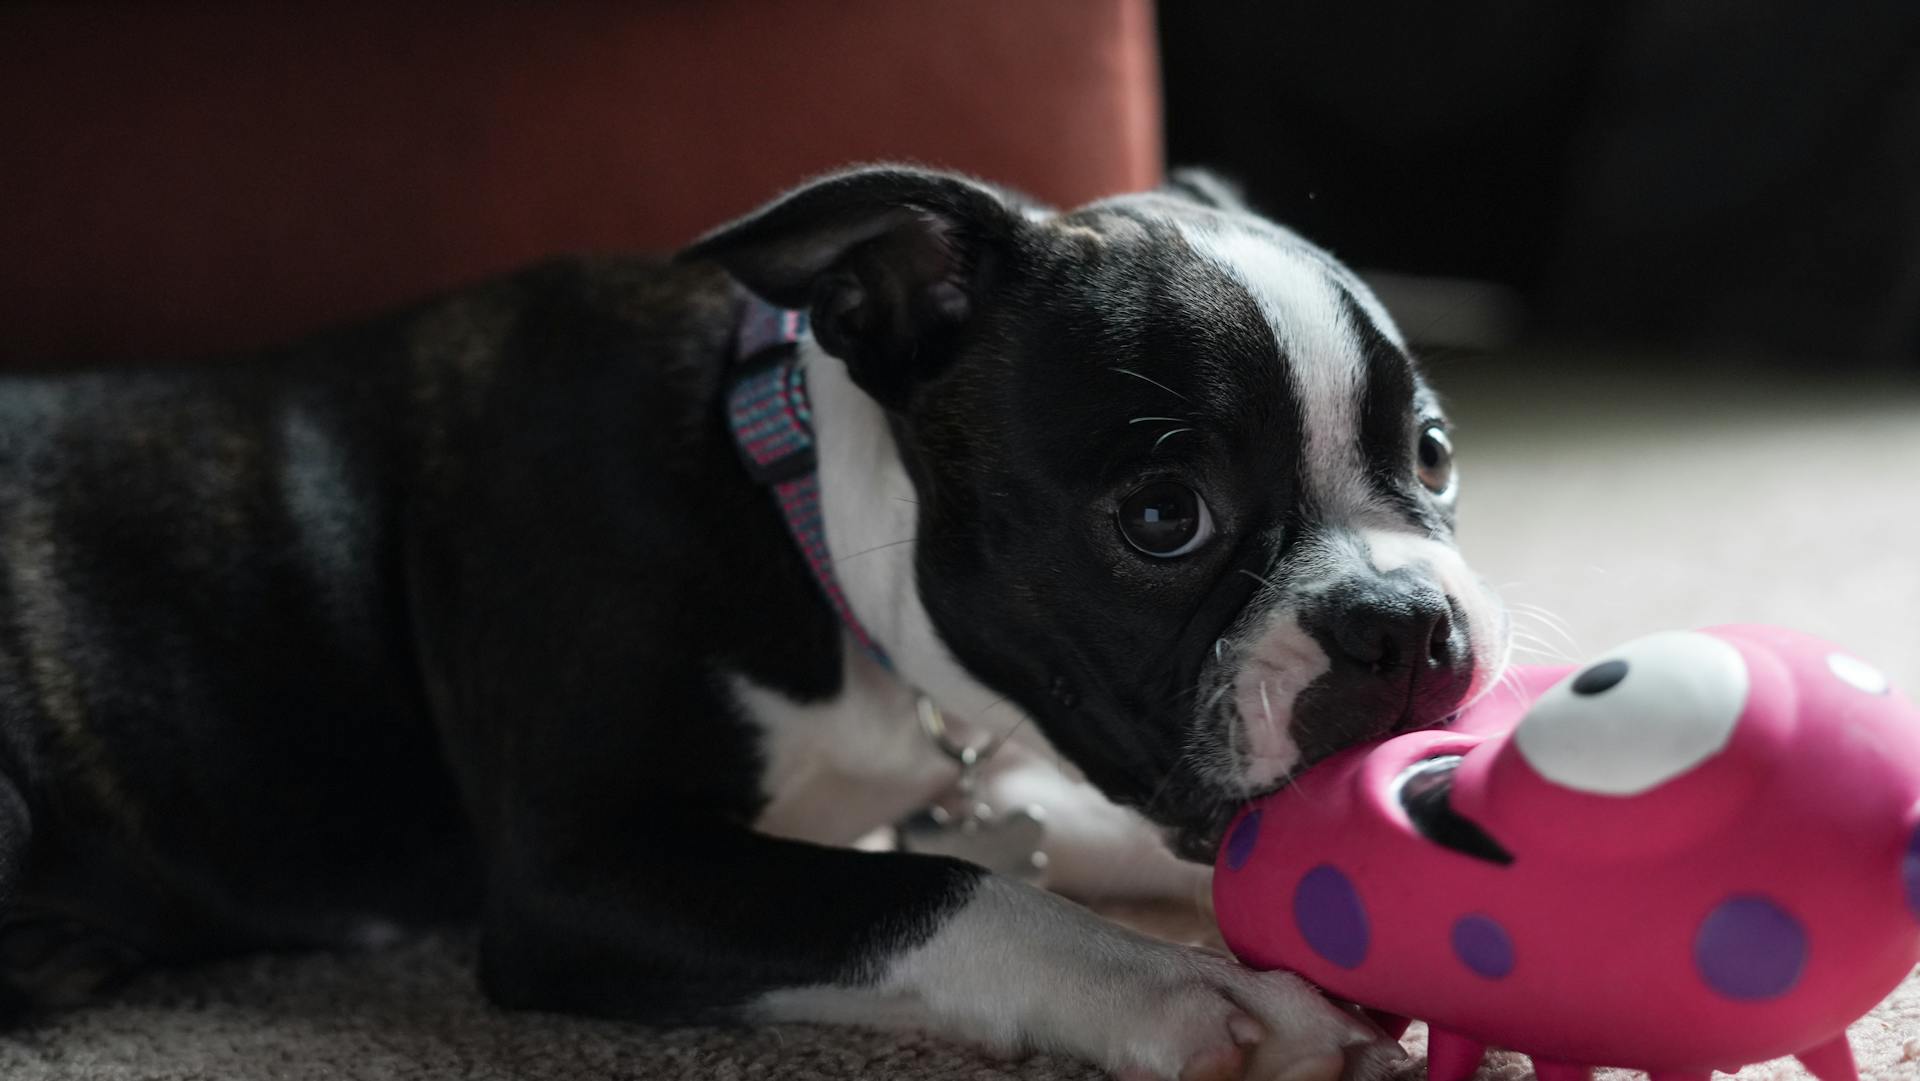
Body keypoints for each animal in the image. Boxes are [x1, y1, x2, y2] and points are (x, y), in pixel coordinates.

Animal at [0, 163, 1497, 1081]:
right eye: (1163, 516)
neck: (805, 521)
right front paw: (1196, 991)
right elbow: (943, 892)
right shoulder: (581, 873)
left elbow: (1091, 837)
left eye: (1433, 454)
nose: (1404, 624)